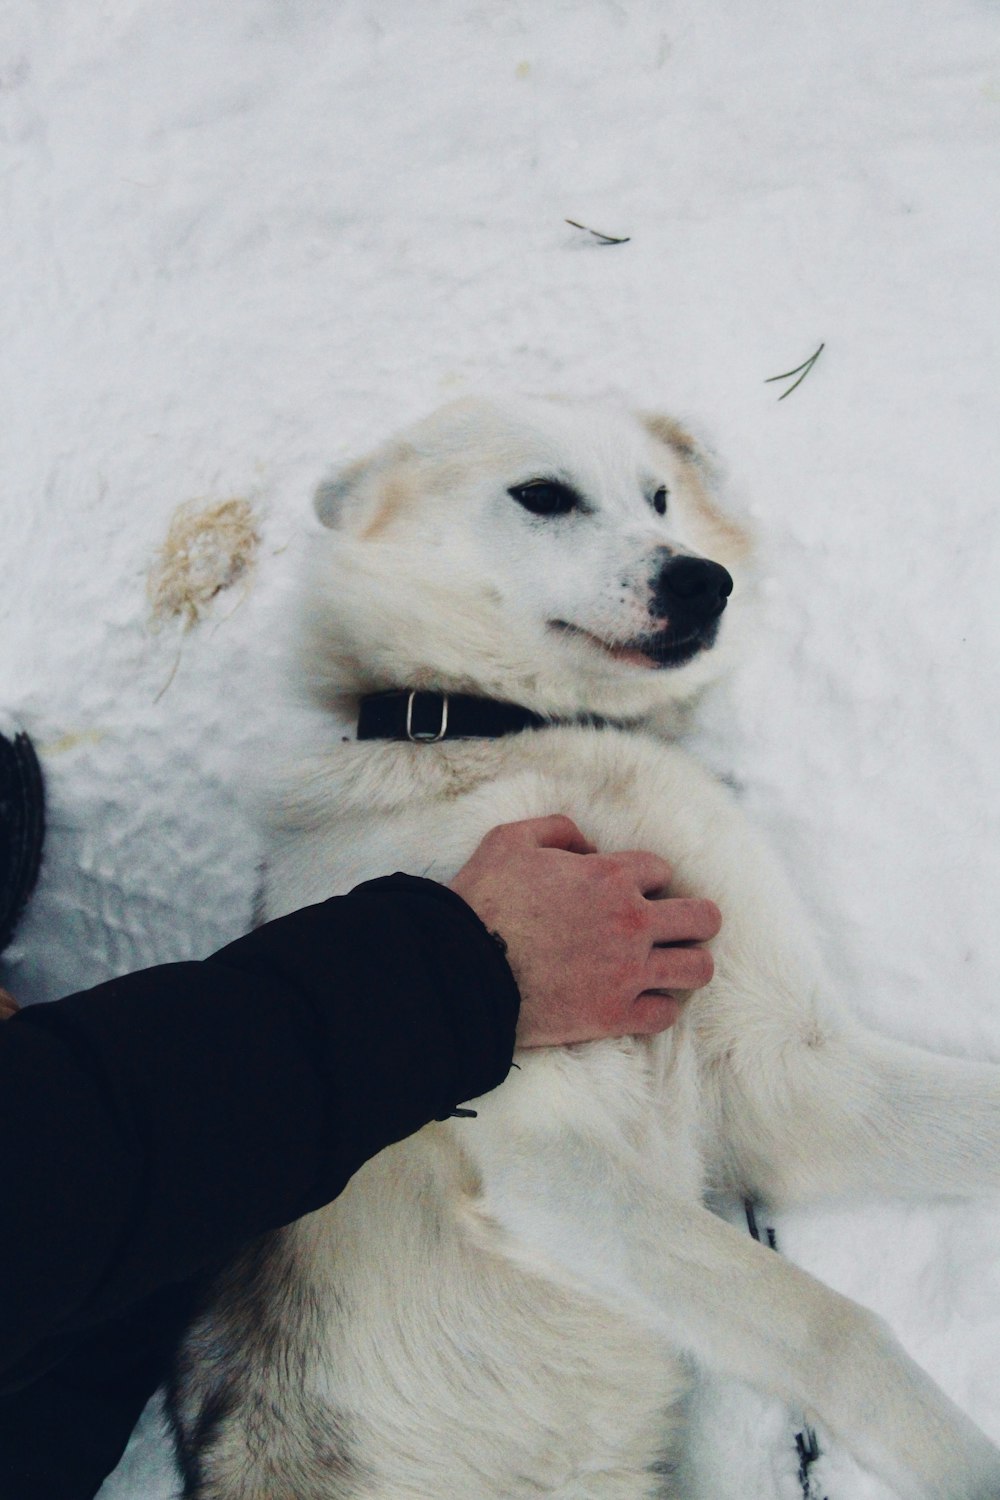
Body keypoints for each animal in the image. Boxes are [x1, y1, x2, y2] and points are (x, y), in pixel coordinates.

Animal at [167, 393, 995, 1494]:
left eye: (659, 497)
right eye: (544, 495)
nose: (703, 578)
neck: (514, 733)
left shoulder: (789, 1067)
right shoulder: (547, 1159)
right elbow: (834, 1330)